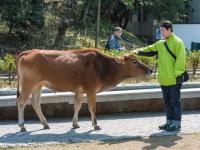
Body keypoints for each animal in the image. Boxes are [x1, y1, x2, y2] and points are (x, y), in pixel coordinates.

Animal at [16, 48, 152, 131]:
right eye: (134, 61)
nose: (149, 70)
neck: (103, 66)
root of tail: (28, 52)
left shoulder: (80, 91)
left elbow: (77, 105)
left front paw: (75, 123)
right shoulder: (91, 90)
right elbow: (92, 107)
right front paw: (95, 124)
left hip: (38, 85)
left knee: (35, 102)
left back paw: (45, 124)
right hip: (28, 84)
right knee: (21, 102)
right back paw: (22, 126)